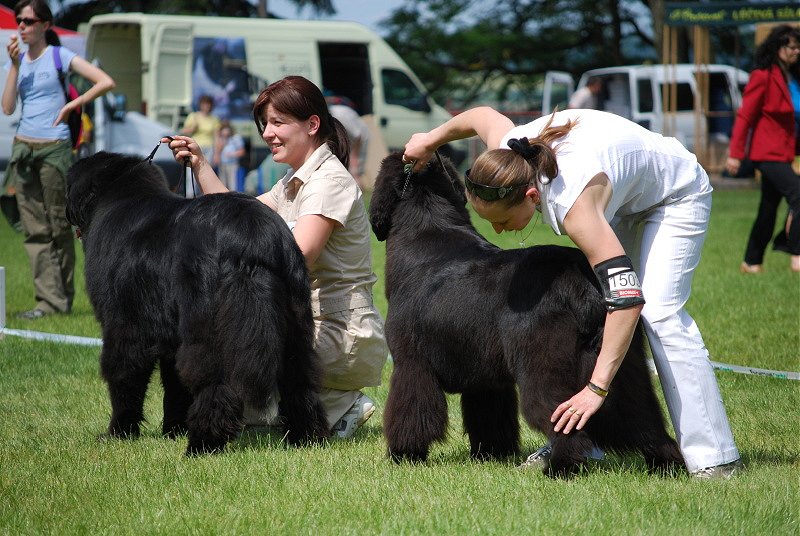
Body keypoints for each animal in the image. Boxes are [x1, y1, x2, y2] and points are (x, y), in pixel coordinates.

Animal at [66, 152, 328, 456]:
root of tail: (251, 236)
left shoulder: (123, 326)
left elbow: (124, 375)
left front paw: (119, 432)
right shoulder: (169, 337)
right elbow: (174, 386)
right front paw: (172, 430)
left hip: (206, 326)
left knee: (213, 383)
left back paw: (202, 445)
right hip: (296, 321)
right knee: (300, 380)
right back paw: (306, 438)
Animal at [368, 153, 680, 476]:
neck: (428, 223)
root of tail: (579, 281)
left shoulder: (411, 364)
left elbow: (410, 411)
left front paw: (404, 455)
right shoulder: (486, 379)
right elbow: (489, 418)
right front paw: (491, 454)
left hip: (543, 365)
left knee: (561, 418)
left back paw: (562, 468)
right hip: (623, 364)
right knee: (641, 416)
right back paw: (666, 464)